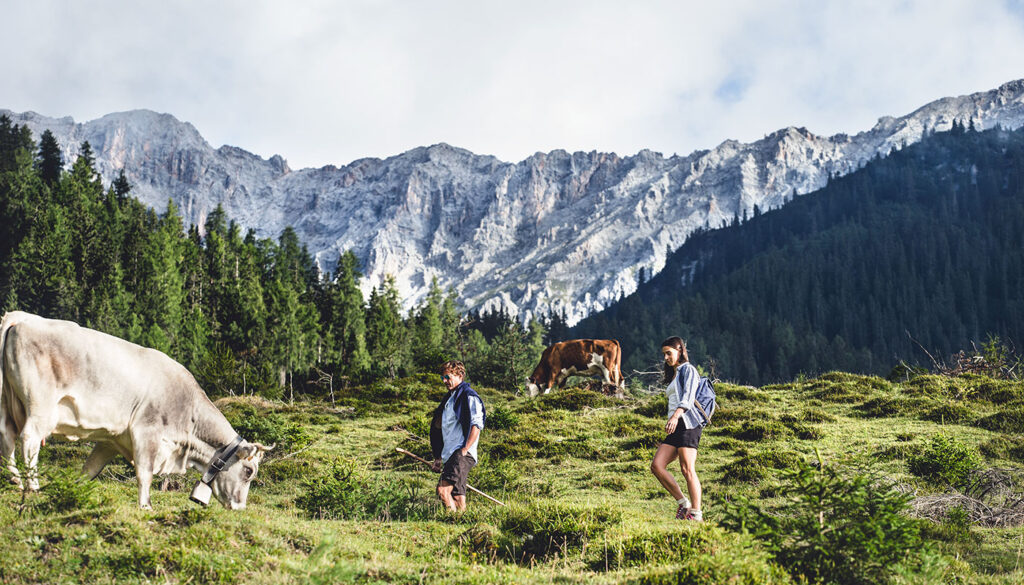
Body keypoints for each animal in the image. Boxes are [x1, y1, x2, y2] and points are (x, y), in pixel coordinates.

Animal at [0, 313, 272, 510]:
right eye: (249, 471)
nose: (240, 507)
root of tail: (22, 318)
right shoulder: (147, 431)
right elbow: (145, 473)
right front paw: (145, 506)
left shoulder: (110, 440)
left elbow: (90, 470)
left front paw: (74, 489)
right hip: (41, 406)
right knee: (28, 439)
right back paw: (32, 485)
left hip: (6, 402)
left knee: (7, 437)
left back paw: (14, 479)